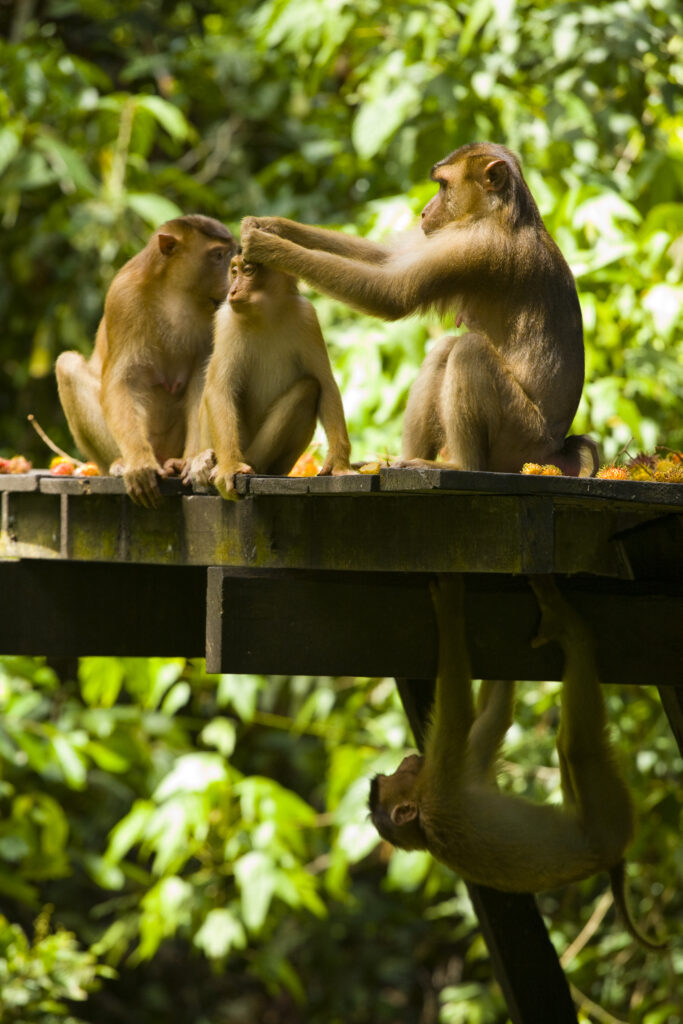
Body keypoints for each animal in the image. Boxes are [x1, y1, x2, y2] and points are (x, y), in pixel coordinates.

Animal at [55, 215, 237, 508]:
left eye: (232, 253)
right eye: (218, 255)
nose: (232, 276)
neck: (176, 293)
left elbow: (202, 381)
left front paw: (194, 460)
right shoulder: (123, 298)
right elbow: (121, 382)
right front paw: (139, 464)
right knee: (67, 364)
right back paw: (121, 463)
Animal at [188, 254, 354, 499]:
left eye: (248, 271)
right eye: (234, 271)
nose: (233, 290)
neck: (266, 315)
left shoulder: (307, 317)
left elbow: (326, 385)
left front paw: (339, 462)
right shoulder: (226, 320)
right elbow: (219, 389)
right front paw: (229, 467)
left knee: (309, 387)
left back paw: (256, 465)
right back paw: (209, 462)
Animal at [240, 143, 598, 476]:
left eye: (443, 186)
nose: (425, 212)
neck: (502, 212)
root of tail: (554, 451)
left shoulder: (477, 246)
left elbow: (392, 293)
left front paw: (268, 246)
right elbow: (385, 259)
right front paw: (271, 226)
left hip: (519, 438)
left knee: (469, 350)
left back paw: (462, 466)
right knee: (445, 350)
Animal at [369, 575, 665, 949]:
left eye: (392, 774)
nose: (409, 759)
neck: (422, 820)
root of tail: (610, 861)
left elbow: (492, 717)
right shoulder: (439, 789)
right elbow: (457, 714)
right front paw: (450, 609)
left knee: (564, 746)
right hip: (611, 824)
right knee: (578, 748)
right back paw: (571, 630)